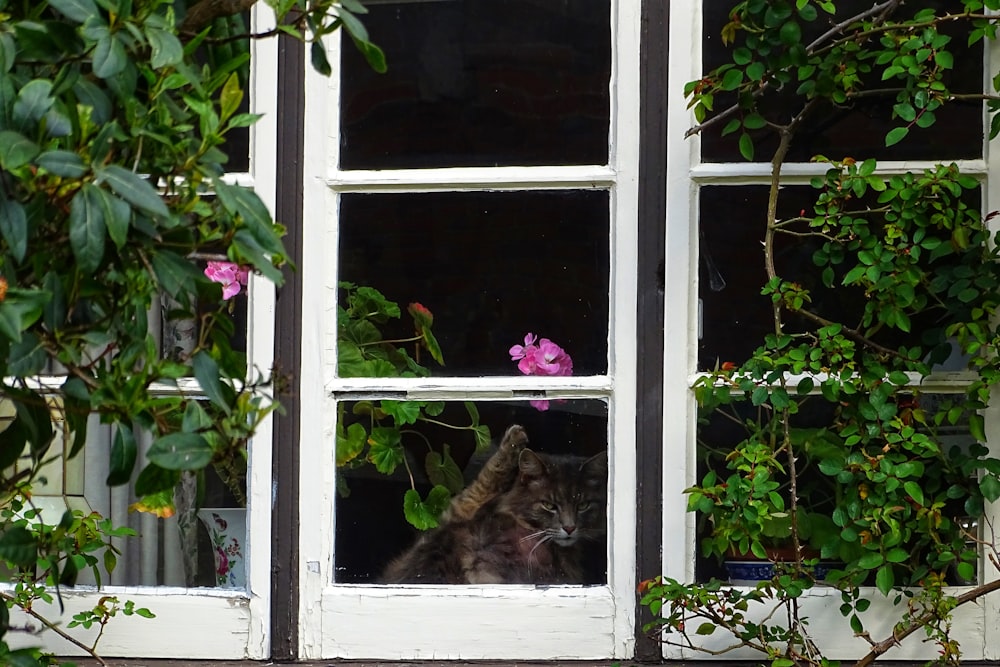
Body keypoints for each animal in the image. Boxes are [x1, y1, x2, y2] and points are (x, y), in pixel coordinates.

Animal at [378, 426, 604, 588]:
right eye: (549, 505)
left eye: (583, 505)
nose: (570, 528)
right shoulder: (454, 518)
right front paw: (514, 440)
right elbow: (483, 483)